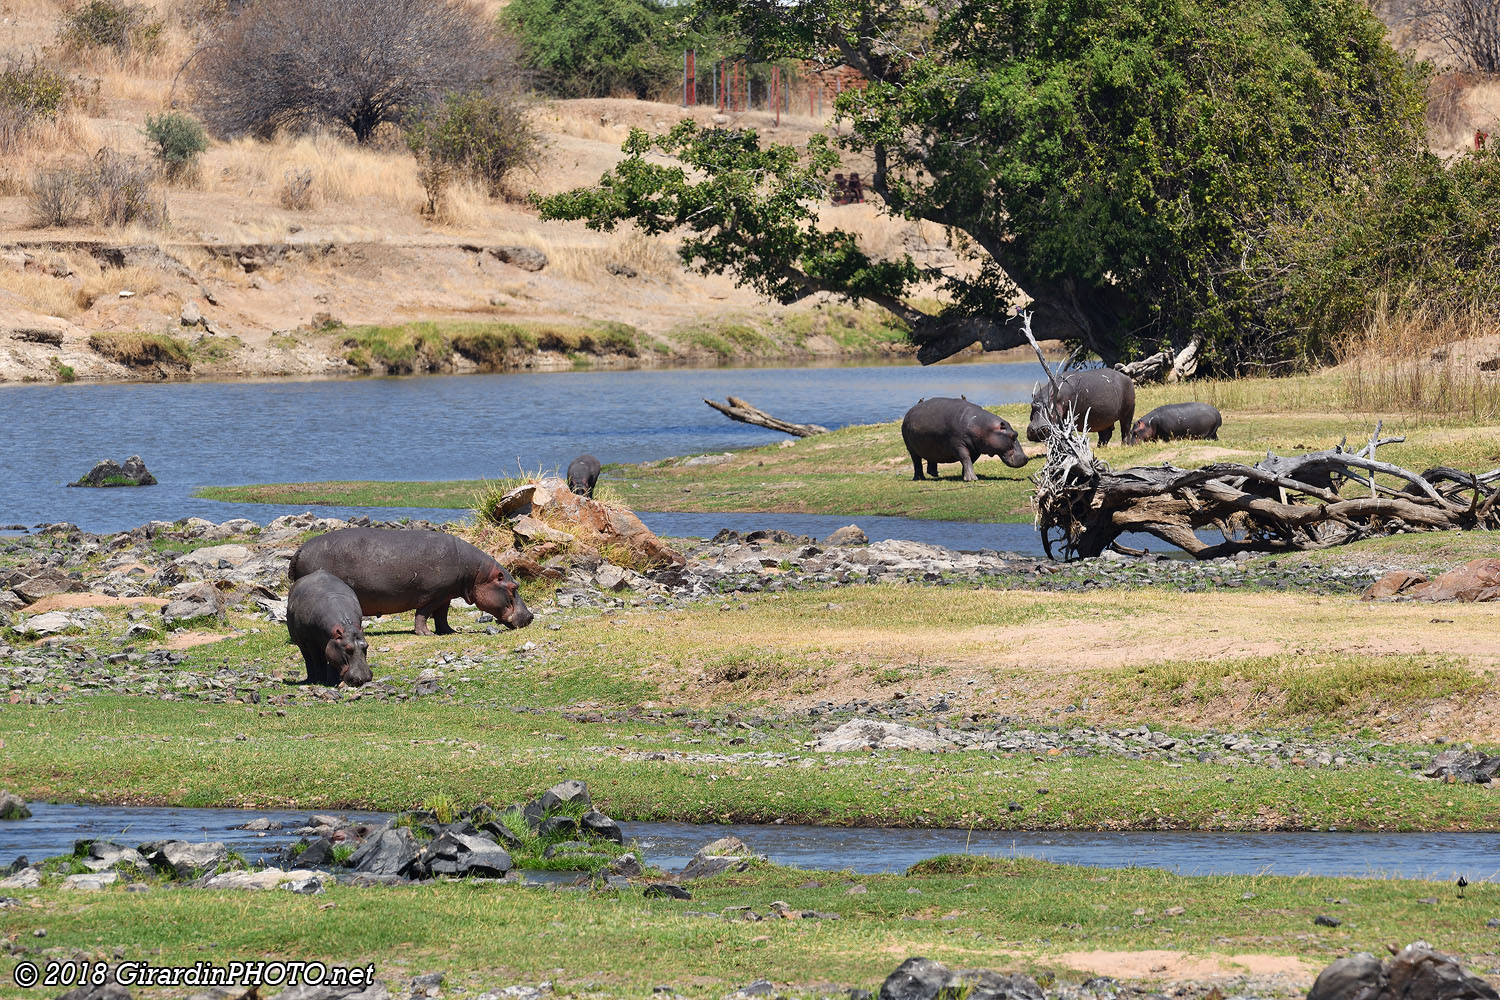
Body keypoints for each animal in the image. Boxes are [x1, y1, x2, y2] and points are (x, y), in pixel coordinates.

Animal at [289, 527, 533, 636]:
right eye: (513, 586)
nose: (530, 616)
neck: (477, 574)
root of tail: (299, 550)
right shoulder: (432, 594)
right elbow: (423, 614)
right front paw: (426, 634)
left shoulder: (446, 594)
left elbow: (442, 615)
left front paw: (449, 632)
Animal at [901, 397, 1030, 481]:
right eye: (1013, 436)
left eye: (1016, 433)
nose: (1026, 457)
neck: (983, 427)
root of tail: (908, 412)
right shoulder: (958, 445)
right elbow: (965, 458)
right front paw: (972, 479)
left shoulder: (976, 449)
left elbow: (969, 461)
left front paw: (964, 476)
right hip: (911, 449)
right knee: (917, 462)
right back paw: (919, 478)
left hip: (931, 446)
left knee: (931, 458)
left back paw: (935, 474)